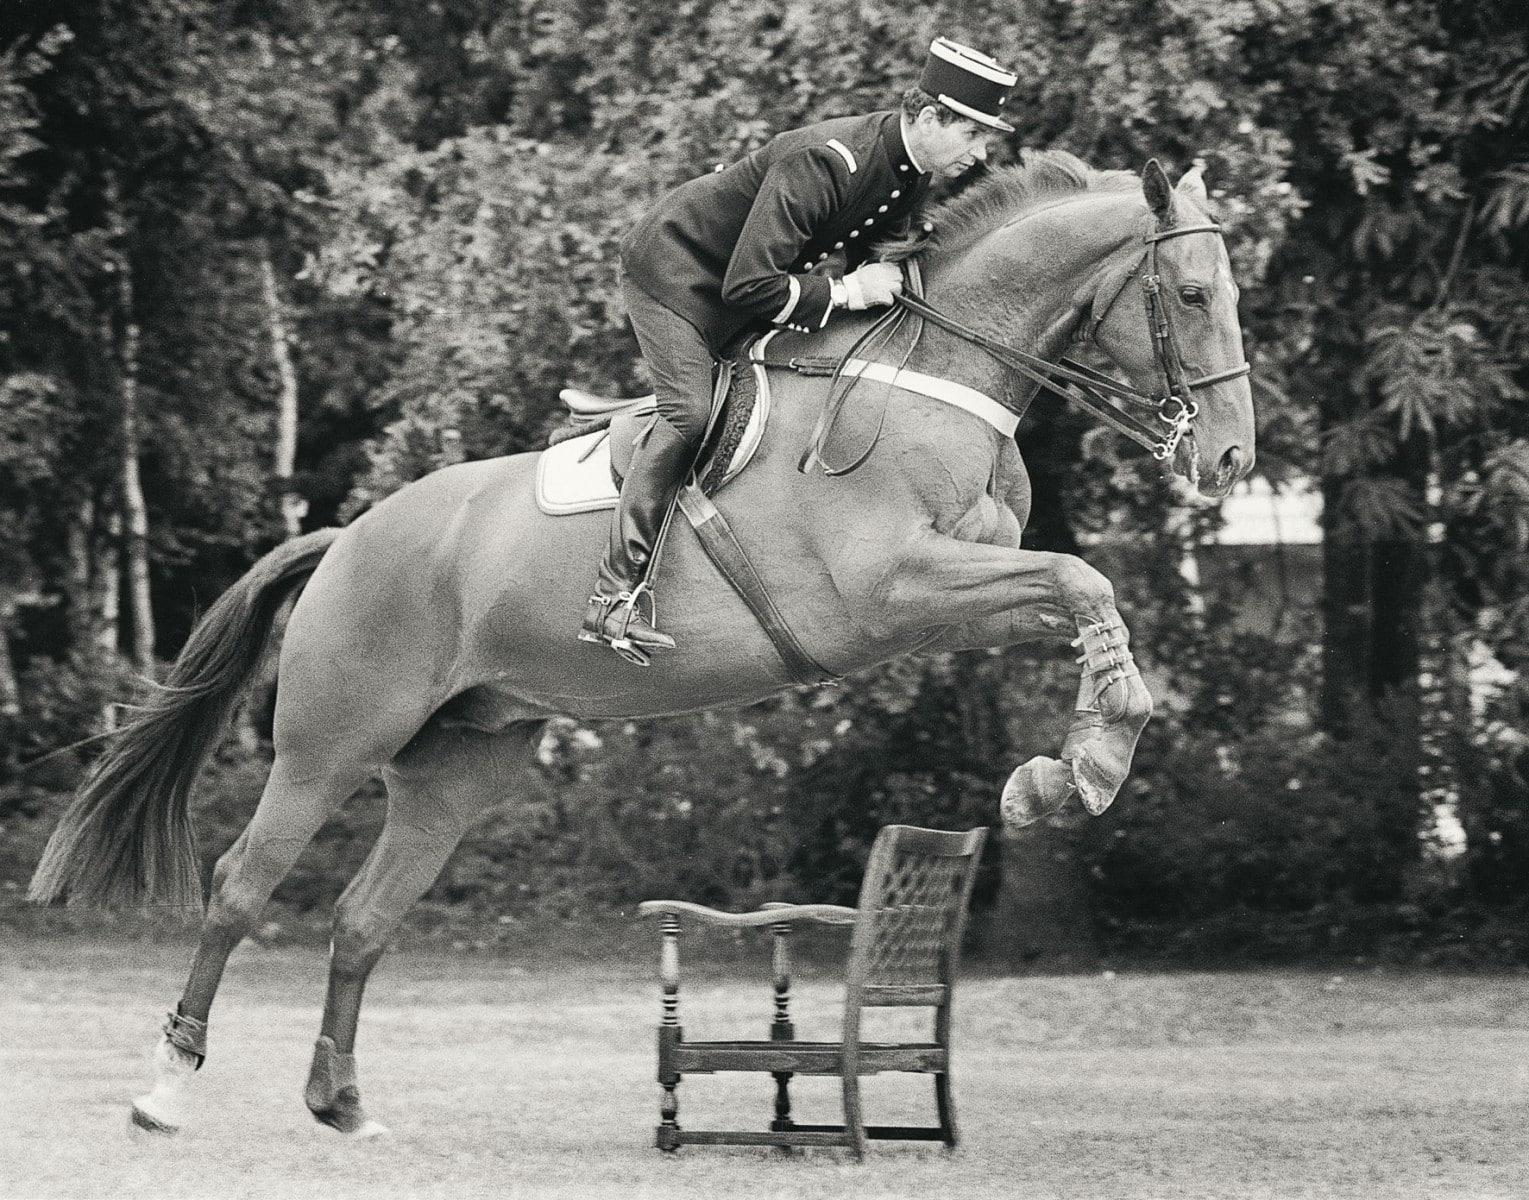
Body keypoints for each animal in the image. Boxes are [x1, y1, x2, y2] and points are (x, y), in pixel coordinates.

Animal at [28, 151, 1254, 1137]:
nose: (1231, 461)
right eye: (1192, 294)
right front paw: (1082, 768)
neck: (928, 382)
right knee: (241, 888)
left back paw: (341, 1104)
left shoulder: (958, 592)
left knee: (364, 918)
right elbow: (1083, 578)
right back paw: (164, 1091)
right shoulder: (884, 592)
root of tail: (346, 539)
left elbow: (1085, 598)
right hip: (329, 746)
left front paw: (1072, 769)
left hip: (456, 766)